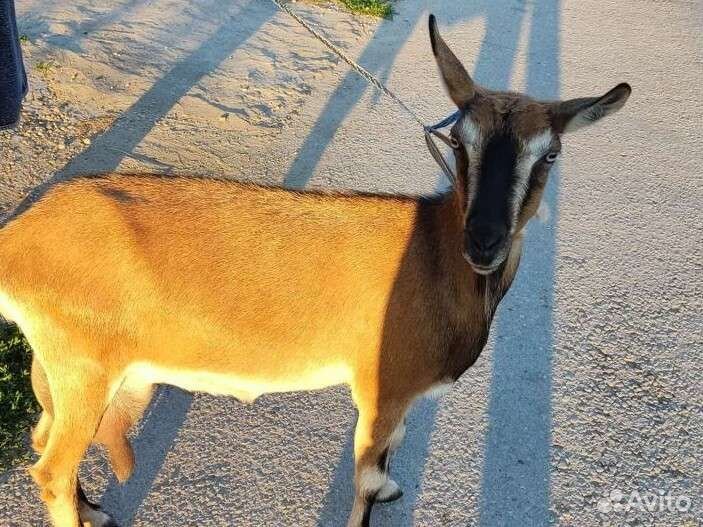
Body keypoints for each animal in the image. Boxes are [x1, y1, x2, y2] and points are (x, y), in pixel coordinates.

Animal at [0, 15, 630, 527]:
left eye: (549, 154)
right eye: (458, 141)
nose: (484, 239)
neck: (436, 254)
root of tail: (19, 237)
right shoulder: (383, 388)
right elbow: (366, 481)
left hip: (69, 369)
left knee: (42, 436)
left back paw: (94, 510)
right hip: (85, 367)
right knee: (51, 468)